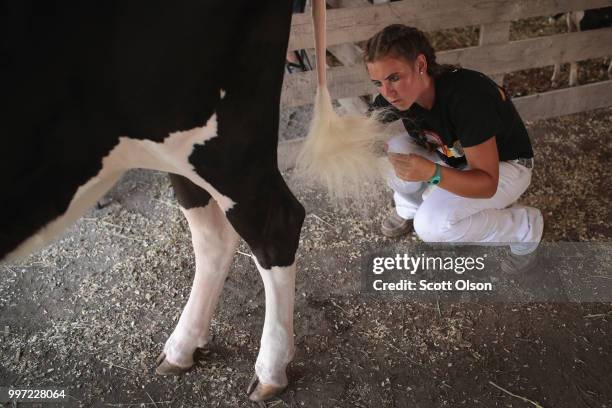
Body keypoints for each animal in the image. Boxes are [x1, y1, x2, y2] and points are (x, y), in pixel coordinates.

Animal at [0, 0, 304, 402]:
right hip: (171, 147)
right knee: (213, 235)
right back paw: (182, 347)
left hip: (222, 137)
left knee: (276, 224)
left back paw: (270, 368)